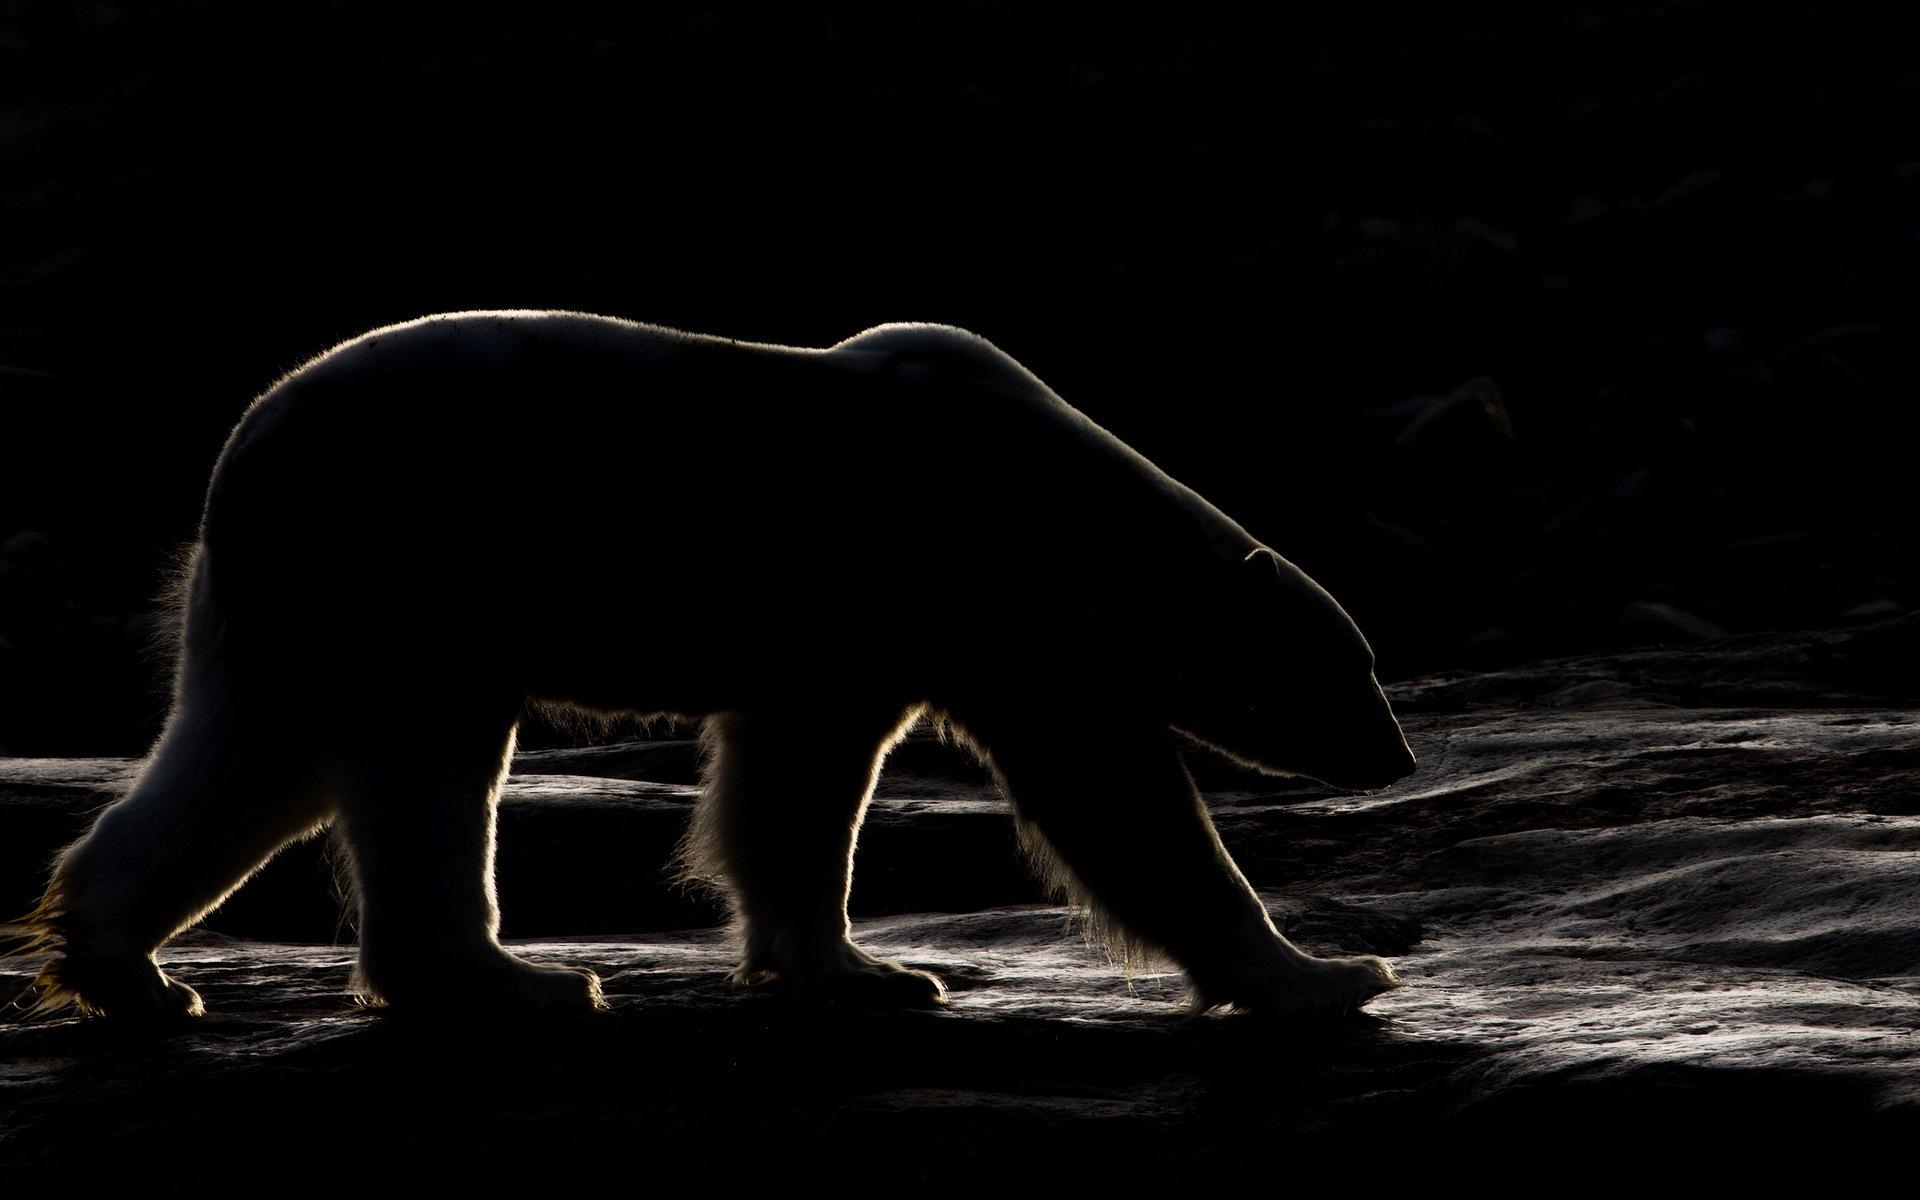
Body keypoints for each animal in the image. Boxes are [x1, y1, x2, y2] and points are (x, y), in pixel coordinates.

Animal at [4, 311, 1417, 1020]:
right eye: (1354, 669)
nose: (1397, 755)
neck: (1073, 501)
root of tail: (245, 447)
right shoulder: (978, 590)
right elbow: (1113, 795)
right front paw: (1326, 975)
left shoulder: (852, 638)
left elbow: (792, 785)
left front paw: (859, 968)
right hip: (416, 559)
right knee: (420, 768)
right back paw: (514, 981)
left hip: (290, 601)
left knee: (246, 761)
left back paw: (124, 965)